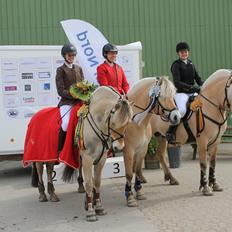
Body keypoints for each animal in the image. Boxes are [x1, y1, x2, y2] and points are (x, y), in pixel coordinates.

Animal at [61, 86, 134, 222]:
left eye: (128, 123)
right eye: (113, 123)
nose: (118, 147)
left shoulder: (101, 159)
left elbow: (97, 182)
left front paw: (98, 207)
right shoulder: (87, 158)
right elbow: (90, 184)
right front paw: (90, 211)